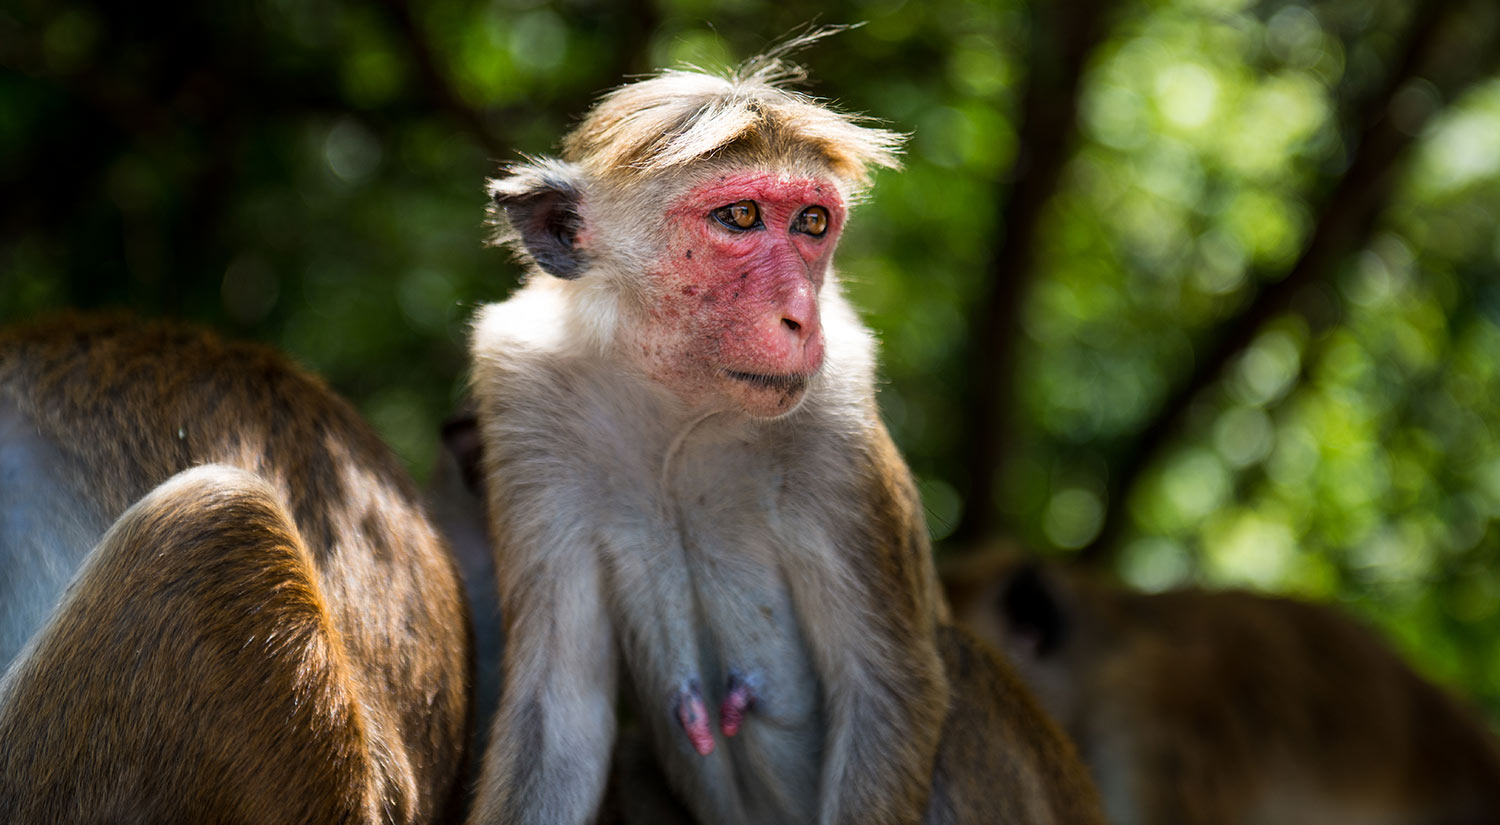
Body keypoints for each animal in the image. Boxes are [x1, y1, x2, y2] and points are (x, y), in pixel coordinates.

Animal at [464, 42, 1107, 825]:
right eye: (740, 216)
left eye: (811, 223)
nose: (803, 315)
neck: (679, 405)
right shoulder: (523, 399)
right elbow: (560, 716)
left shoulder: (839, 415)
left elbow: (886, 690)